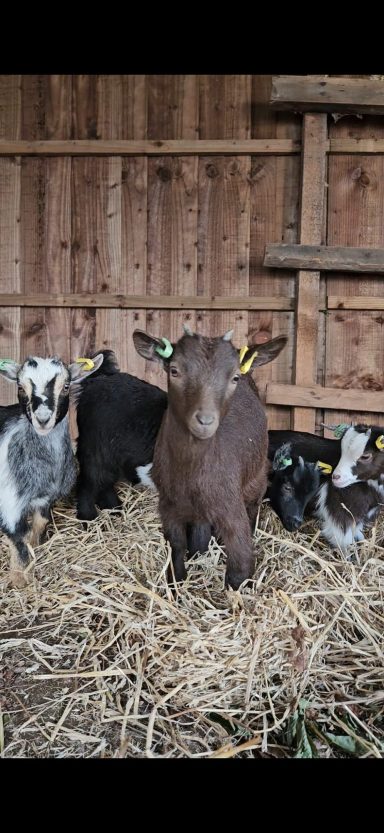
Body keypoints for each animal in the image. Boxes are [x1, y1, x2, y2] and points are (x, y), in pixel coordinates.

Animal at [0, 352, 103, 584]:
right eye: (20, 387)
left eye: (66, 386)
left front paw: (36, 547)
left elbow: (39, 525)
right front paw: (20, 582)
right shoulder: (10, 505)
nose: (43, 419)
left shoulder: (46, 498)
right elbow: (19, 543)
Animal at [132, 326, 284, 592]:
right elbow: (176, 550)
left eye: (234, 377)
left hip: (255, 477)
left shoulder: (229, 505)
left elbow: (240, 566)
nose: (205, 420)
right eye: (174, 370)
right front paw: (176, 585)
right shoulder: (168, 506)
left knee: (253, 505)